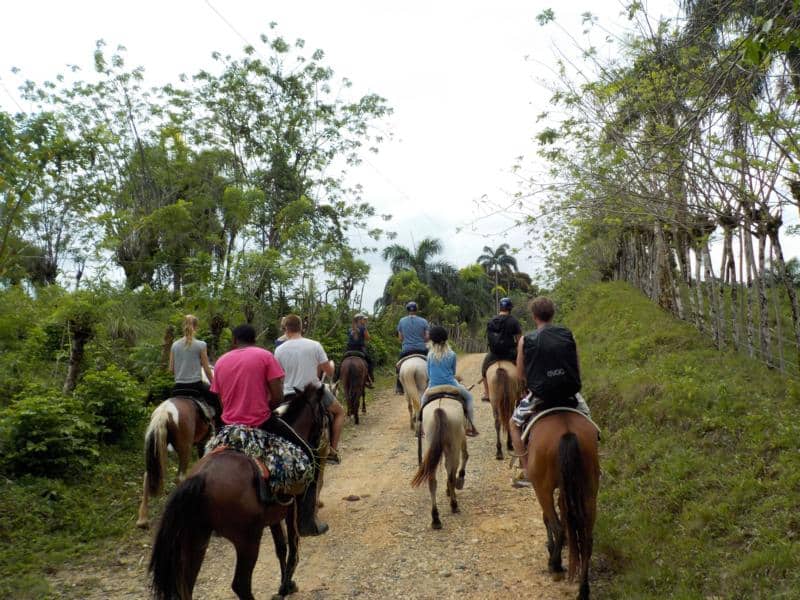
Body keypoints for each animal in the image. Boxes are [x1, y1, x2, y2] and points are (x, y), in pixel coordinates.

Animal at [148, 385, 327, 600]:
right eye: (324, 414)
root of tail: (200, 478)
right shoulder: (291, 507)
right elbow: (292, 547)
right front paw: (285, 587)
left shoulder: (275, 515)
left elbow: (280, 547)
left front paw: (286, 585)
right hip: (247, 540)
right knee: (240, 585)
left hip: (194, 539)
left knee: (186, 587)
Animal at [411, 394, 469, 529]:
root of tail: (439, 409)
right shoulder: (462, 437)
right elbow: (465, 455)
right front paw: (459, 482)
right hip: (454, 447)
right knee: (451, 475)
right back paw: (454, 505)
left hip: (430, 442)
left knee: (432, 481)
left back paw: (435, 518)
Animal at [527, 411, 600, 600]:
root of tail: (567, 432)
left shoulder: (543, 489)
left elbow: (548, 518)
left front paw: (552, 548)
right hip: (589, 491)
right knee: (587, 540)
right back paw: (583, 590)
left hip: (542, 488)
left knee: (557, 525)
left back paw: (555, 565)